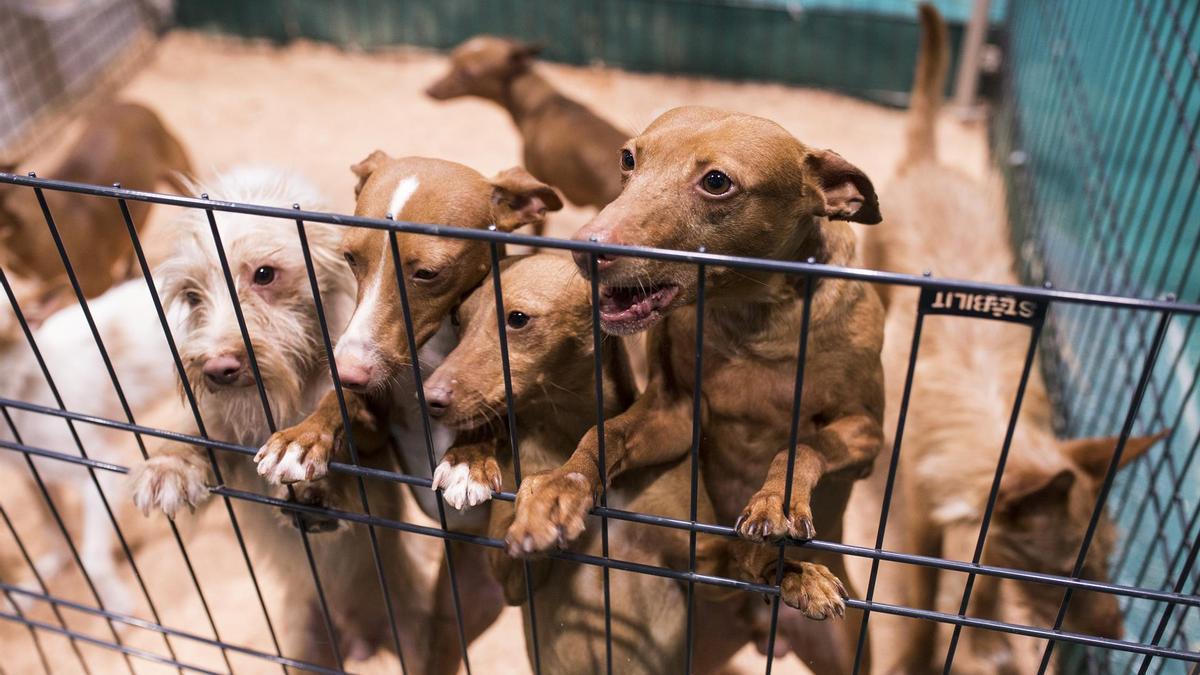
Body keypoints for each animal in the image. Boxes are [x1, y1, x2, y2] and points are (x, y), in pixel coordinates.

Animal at [492, 107, 888, 667]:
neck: (753, 325)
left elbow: (804, 445)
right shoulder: (672, 414)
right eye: (628, 159)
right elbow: (602, 436)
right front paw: (558, 488)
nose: (584, 249)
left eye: (717, 182)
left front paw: (777, 500)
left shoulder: (865, 434)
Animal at [868, 6, 1166, 672]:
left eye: (1107, 564)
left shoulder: (979, 528)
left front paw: (982, 638)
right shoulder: (916, 525)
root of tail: (928, 166)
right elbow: (919, 603)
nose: (1115, 637)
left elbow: (976, 587)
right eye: (1057, 574)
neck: (993, 425)